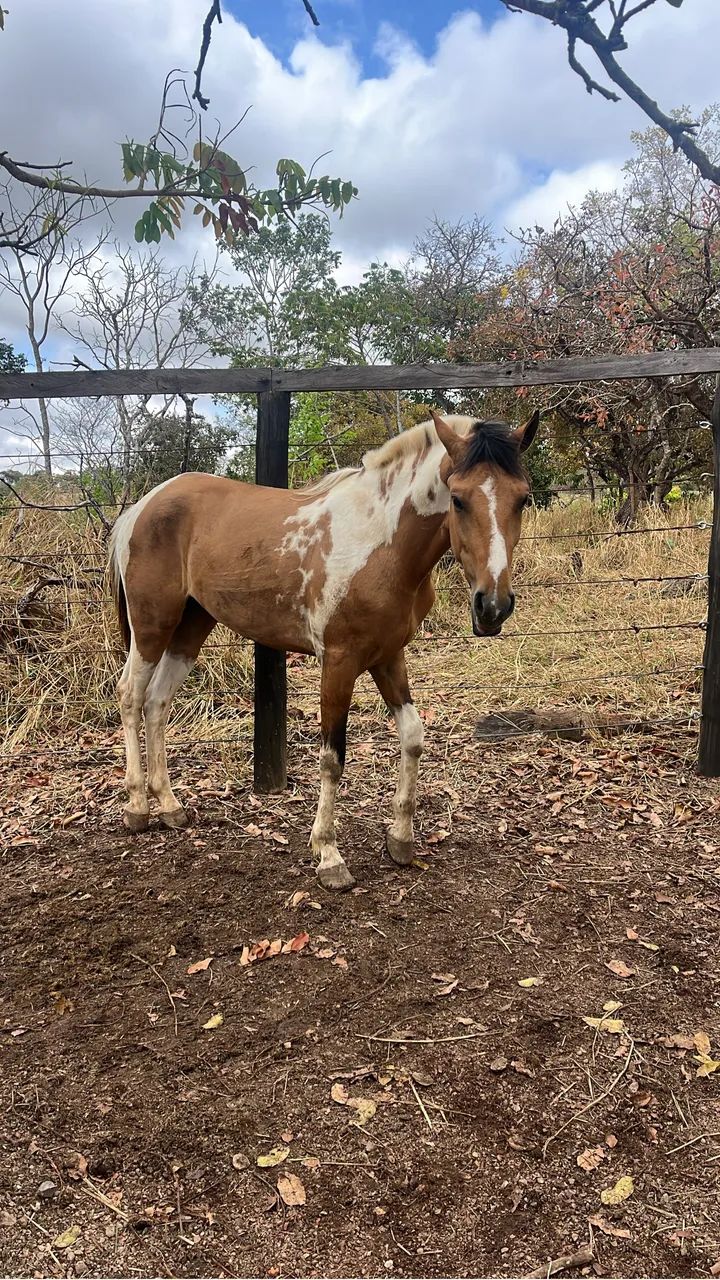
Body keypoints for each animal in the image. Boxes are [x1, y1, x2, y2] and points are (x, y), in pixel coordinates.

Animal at [108, 409, 539, 890]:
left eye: (522, 499)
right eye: (459, 499)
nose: (493, 606)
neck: (380, 545)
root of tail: (143, 506)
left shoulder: (389, 657)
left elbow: (412, 737)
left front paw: (401, 840)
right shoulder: (338, 662)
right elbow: (333, 757)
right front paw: (329, 856)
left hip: (191, 626)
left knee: (157, 702)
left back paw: (170, 806)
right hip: (152, 625)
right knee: (130, 695)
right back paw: (137, 809)